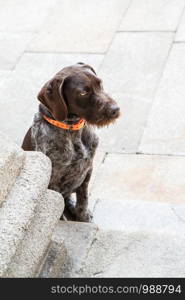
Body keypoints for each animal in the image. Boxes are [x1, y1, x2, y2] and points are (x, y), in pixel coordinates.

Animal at [21, 62, 120, 223]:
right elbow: (58, 211)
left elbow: (83, 198)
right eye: (83, 93)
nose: (115, 110)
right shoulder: (53, 181)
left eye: (100, 84)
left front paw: (83, 217)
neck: (72, 130)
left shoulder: (87, 169)